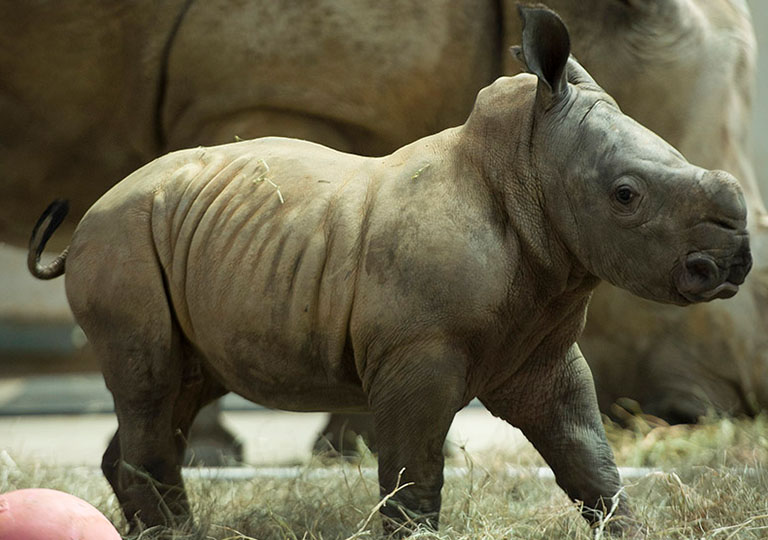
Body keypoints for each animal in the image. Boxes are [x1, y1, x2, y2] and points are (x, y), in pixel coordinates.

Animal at [27, 7, 751, 536]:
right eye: (627, 196)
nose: (733, 262)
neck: (526, 169)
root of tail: (86, 220)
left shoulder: (541, 350)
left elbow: (589, 460)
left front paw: (630, 529)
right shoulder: (418, 354)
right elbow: (413, 473)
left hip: (169, 244)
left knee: (180, 384)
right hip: (121, 240)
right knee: (151, 384)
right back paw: (177, 534)